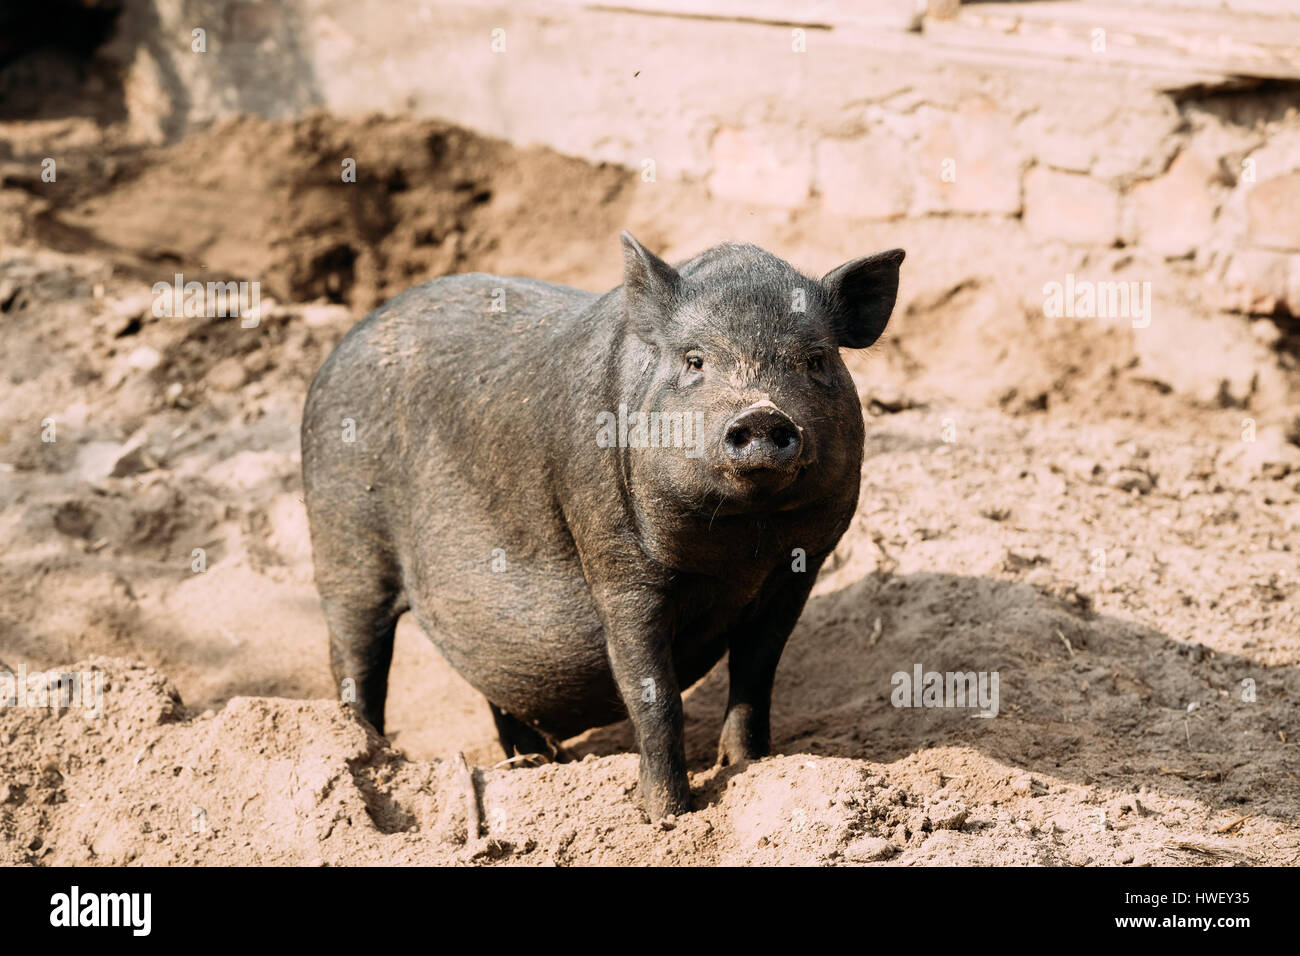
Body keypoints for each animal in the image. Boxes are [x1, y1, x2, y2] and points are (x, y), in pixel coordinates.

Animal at [301, 233, 904, 819]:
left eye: (816, 360)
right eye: (694, 361)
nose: (761, 413)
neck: (741, 546)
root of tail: (342, 347)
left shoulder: (798, 570)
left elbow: (756, 677)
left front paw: (751, 767)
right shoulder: (618, 565)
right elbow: (653, 695)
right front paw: (666, 817)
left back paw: (534, 767)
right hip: (343, 542)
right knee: (356, 660)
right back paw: (372, 753)